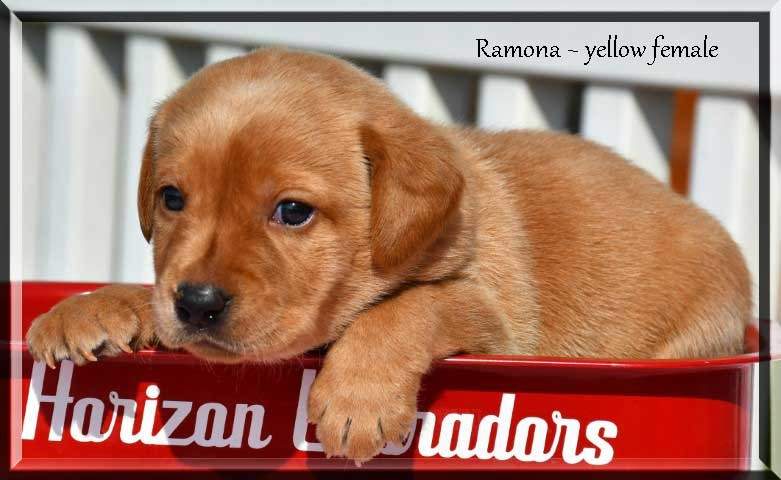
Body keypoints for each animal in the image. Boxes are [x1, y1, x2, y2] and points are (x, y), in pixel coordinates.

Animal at [25, 48, 752, 462]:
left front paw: (356, 398)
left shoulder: (491, 316)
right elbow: (143, 292)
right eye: (172, 198)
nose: (198, 304)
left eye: (293, 211)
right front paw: (90, 308)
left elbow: (406, 308)